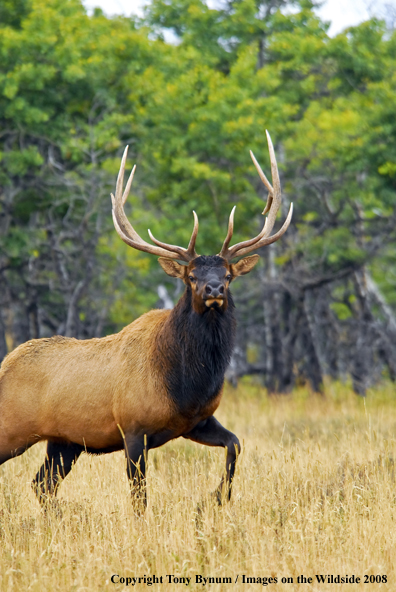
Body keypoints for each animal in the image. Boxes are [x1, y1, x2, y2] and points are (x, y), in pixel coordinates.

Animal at [0, 132, 290, 506]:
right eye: (191, 276)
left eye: (228, 274)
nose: (213, 289)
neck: (185, 382)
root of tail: (5, 365)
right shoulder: (133, 428)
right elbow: (139, 496)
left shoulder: (196, 421)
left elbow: (235, 444)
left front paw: (215, 498)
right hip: (14, 430)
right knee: (40, 482)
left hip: (64, 442)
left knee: (42, 484)